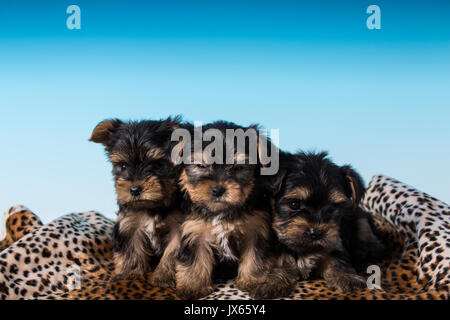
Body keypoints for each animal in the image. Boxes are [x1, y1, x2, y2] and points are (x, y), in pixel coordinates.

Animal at [89, 116, 185, 286]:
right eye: (123, 166)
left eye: (157, 165)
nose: (134, 190)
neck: (153, 206)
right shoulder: (129, 223)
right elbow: (130, 249)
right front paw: (128, 273)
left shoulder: (179, 226)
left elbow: (173, 253)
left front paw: (164, 277)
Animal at [172, 120, 292, 300]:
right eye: (201, 166)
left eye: (238, 168)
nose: (218, 190)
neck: (222, 212)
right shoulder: (195, 230)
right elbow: (194, 258)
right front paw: (192, 286)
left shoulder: (256, 229)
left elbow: (255, 256)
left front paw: (251, 281)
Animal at [266, 151, 384, 292]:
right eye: (294, 204)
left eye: (332, 208)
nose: (315, 232)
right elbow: (281, 262)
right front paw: (273, 282)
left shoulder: (335, 241)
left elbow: (336, 259)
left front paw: (347, 277)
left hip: (359, 216)